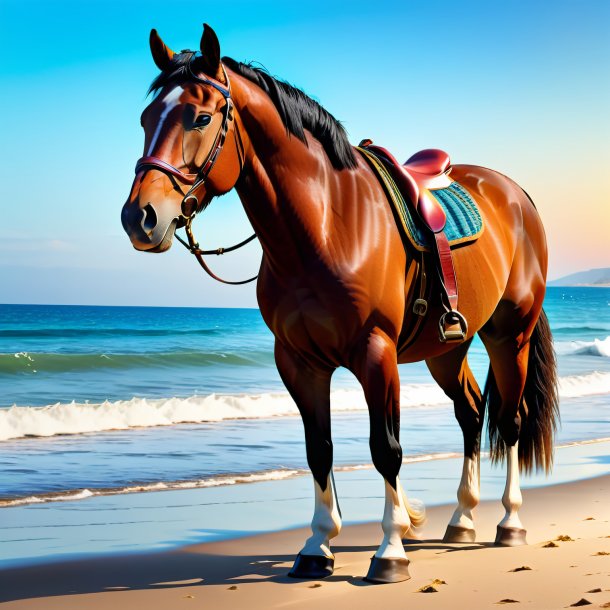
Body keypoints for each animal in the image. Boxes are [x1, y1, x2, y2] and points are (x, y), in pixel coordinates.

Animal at [121, 25, 560, 584]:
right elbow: (319, 450)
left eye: (200, 117)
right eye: (145, 119)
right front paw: (317, 547)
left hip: (510, 336)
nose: (140, 217)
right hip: (447, 349)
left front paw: (390, 550)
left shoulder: (376, 354)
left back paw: (509, 522)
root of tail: (516, 192)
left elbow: (386, 449)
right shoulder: (299, 362)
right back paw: (461, 518)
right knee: (471, 413)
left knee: (511, 419)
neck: (327, 225)